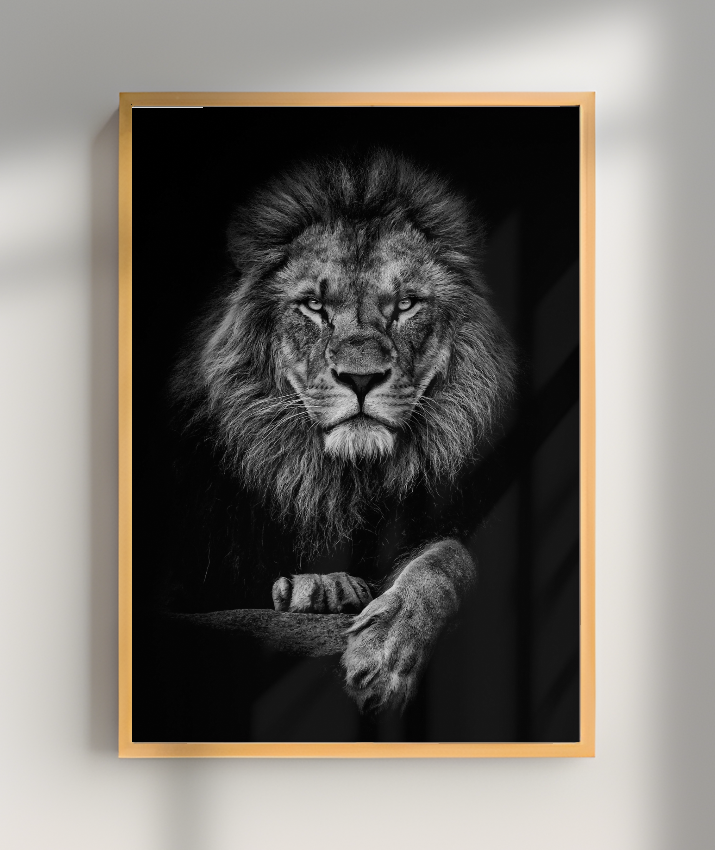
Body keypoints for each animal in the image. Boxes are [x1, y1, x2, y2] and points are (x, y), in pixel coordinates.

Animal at [169, 150, 516, 713]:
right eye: (314, 306)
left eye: (405, 304)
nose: (360, 377)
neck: (342, 481)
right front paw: (322, 588)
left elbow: (447, 557)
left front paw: (385, 650)